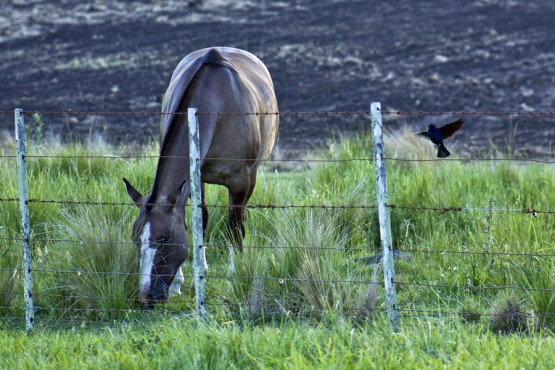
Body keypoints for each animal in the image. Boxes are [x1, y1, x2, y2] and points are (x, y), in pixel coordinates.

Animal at [122, 46, 278, 304]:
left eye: (165, 238)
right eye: (135, 238)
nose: (146, 296)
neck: (216, 104)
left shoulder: (240, 182)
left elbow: (234, 225)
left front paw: (235, 275)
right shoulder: (196, 176)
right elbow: (196, 220)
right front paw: (185, 279)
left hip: (253, 175)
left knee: (239, 218)